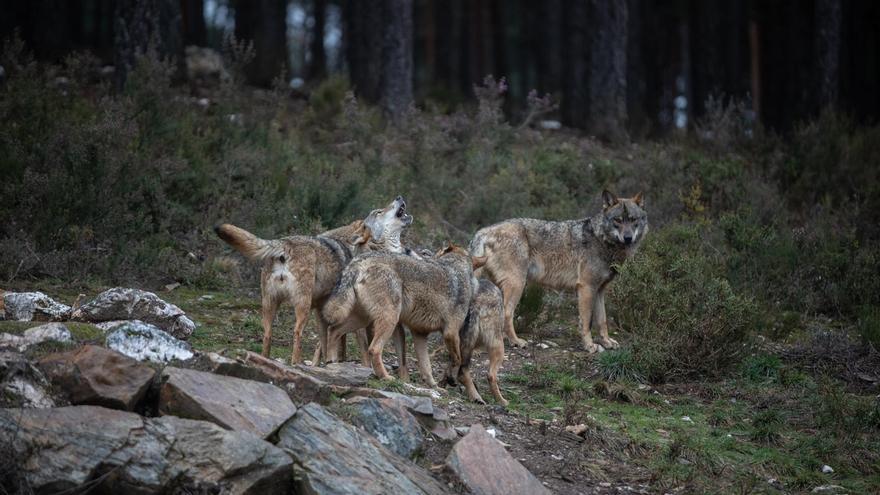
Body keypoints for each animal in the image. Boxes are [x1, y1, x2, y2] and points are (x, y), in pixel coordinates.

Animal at [218, 197, 414, 364]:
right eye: (379, 212)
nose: (399, 197)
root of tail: (284, 244)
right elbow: (361, 348)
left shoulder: (323, 312)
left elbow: (328, 343)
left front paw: (328, 362)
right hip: (302, 307)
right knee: (297, 333)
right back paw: (295, 363)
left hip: (269, 306)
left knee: (267, 335)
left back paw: (264, 359)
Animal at [320, 244, 482, 384]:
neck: (458, 269)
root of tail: (360, 261)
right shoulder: (450, 333)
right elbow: (457, 359)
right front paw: (449, 380)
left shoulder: (419, 334)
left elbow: (426, 367)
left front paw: (434, 386)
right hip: (388, 320)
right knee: (373, 349)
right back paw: (385, 377)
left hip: (362, 319)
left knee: (333, 330)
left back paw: (331, 363)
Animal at [468, 190, 648, 352]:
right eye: (618, 220)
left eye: (633, 220)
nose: (628, 238)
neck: (602, 240)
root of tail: (483, 231)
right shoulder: (586, 288)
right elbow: (586, 322)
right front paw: (589, 346)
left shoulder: (599, 290)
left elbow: (602, 321)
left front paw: (607, 342)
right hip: (517, 284)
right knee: (506, 314)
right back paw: (516, 342)